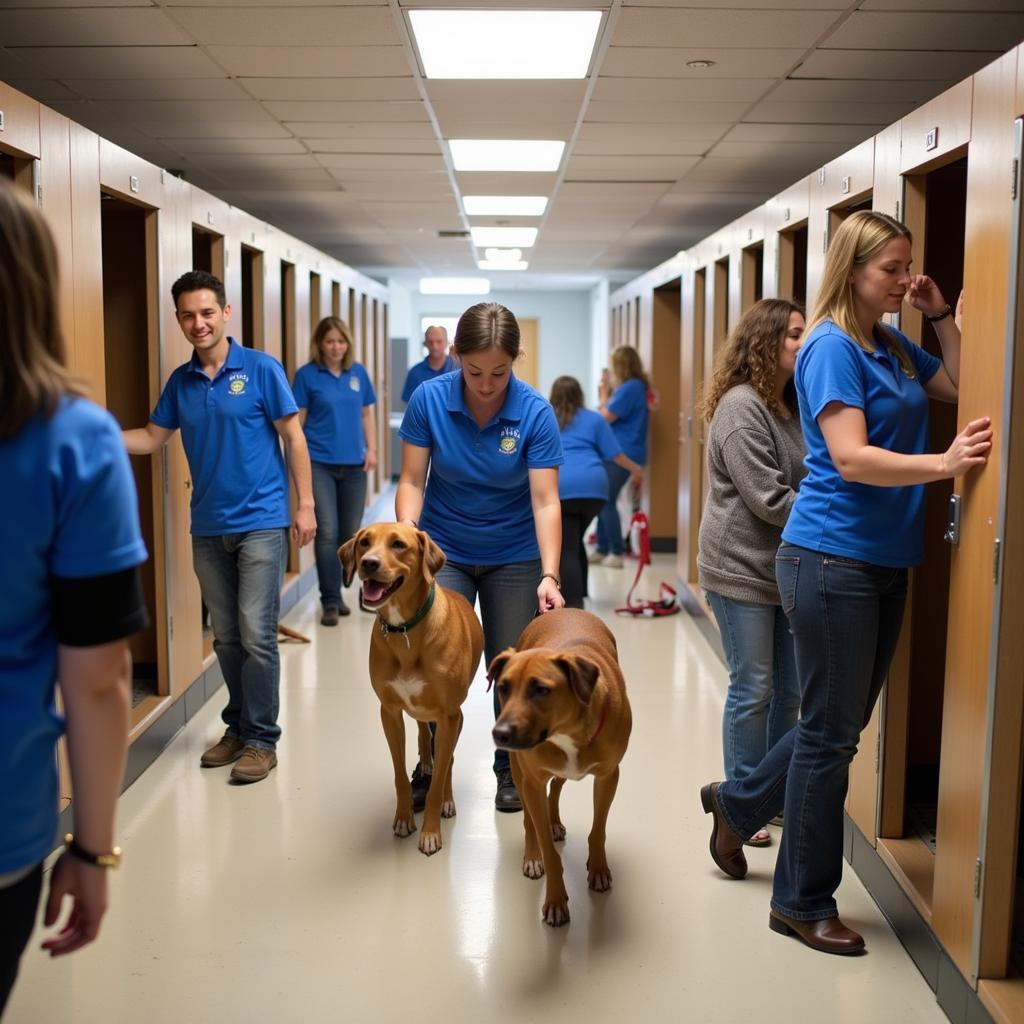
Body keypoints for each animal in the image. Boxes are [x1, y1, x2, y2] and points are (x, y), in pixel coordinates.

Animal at [335, 520, 479, 856]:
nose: (368, 563)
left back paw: (447, 798)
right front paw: (403, 819)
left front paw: (430, 832)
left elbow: (440, 776)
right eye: (364, 542)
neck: (405, 630)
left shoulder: (449, 715)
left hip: (454, 718)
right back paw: (425, 762)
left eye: (398, 544)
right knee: (424, 735)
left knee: (446, 759)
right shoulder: (389, 712)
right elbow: (400, 775)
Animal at [487, 606, 630, 929]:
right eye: (503, 688)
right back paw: (533, 851)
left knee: (556, 787)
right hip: (521, 774)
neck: (569, 730)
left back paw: (553, 822)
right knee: (530, 816)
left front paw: (598, 868)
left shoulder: (608, 776)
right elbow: (549, 851)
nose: (499, 733)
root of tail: (565, 608)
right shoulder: (532, 780)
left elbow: (598, 830)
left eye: (541, 689)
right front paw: (554, 900)